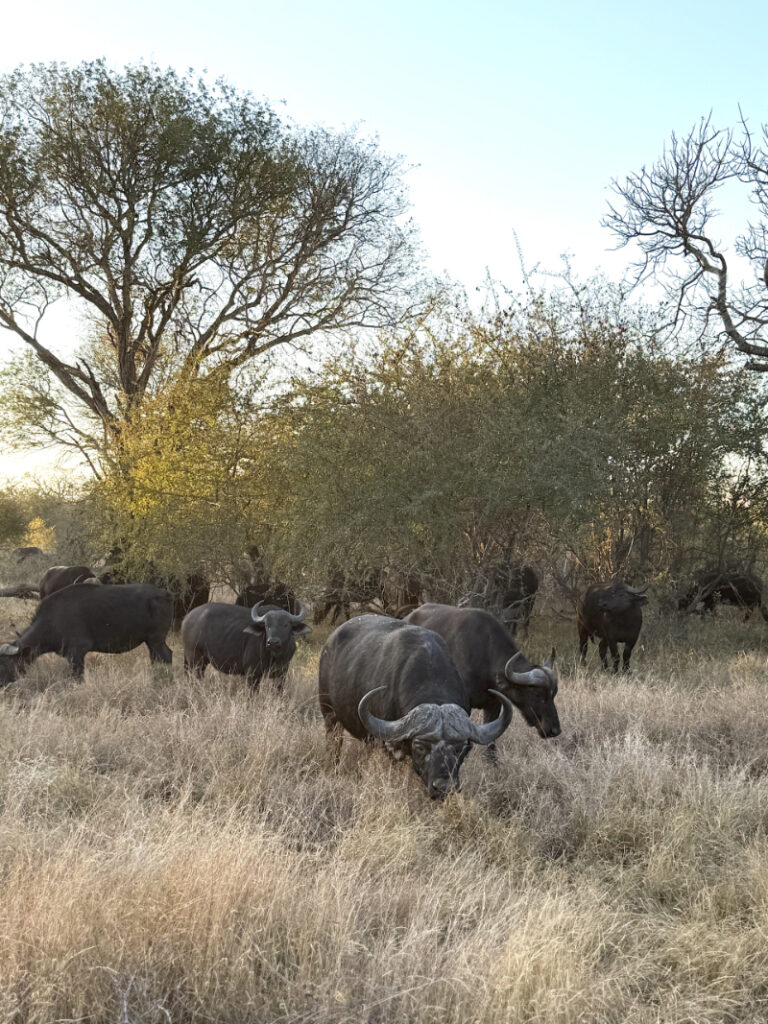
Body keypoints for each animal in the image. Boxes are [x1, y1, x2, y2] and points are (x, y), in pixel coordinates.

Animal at [0, 583, 173, 683]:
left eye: (4, 663)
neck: (52, 619)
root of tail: (165, 594)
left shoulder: (76, 653)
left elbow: (77, 678)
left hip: (156, 639)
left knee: (166, 655)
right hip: (150, 642)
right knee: (157, 658)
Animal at [182, 600, 311, 687]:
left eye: (286, 625)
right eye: (267, 625)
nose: (272, 642)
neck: (274, 656)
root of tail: (187, 618)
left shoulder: (281, 674)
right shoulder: (252, 674)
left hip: (200, 661)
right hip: (194, 660)